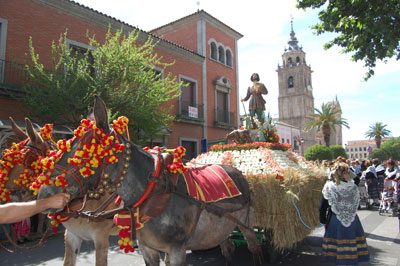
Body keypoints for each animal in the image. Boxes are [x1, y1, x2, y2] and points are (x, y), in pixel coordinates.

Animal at [38, 95, 262, 266]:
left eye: (85, 152)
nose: (44, 194)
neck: (151, 191)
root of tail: (237, 170)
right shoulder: (148, 249)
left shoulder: (177, 250)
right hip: (220, 230)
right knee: (228, 248)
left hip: (246, 225)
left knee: (255, 249)